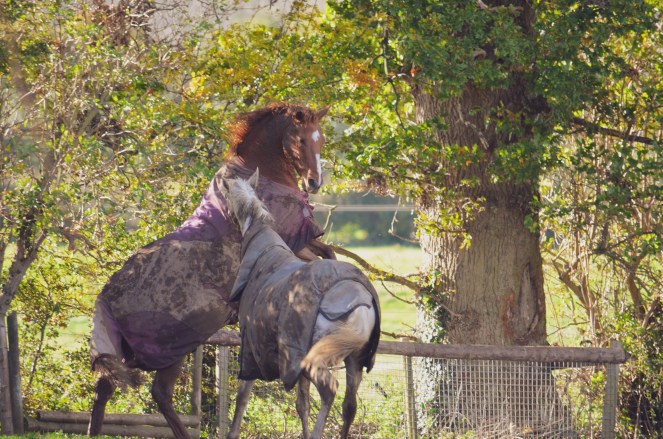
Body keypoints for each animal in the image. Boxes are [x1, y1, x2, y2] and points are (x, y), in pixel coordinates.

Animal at [88, 103, 334, 439]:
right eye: (301, 139)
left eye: (321, 139)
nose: (314, 183)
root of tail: (107, 295)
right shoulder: (294, 244)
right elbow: (325, 256)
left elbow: (327, 254)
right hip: (171, 347)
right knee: (159, 393)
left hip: (127, 350)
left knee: (105, 388)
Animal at [221, 169, 381, 439]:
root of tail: (359, 299)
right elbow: (302, 404)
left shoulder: (252, 345)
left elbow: (242, 398)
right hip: (354, 363)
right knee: (349, 406)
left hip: (316, 360)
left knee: (329, 390)